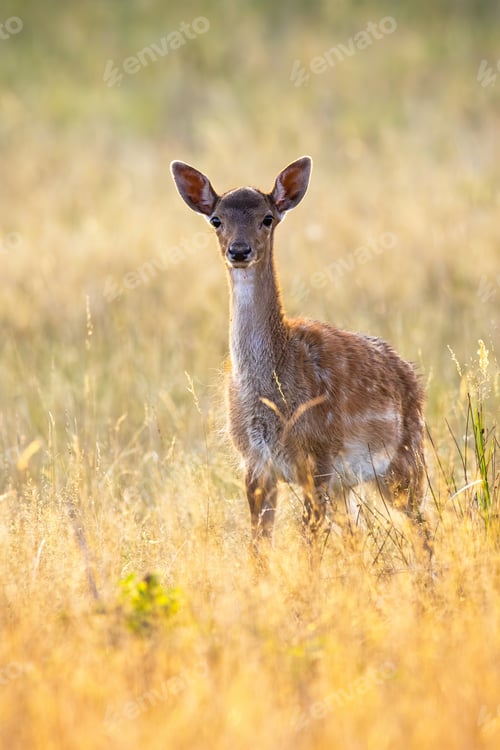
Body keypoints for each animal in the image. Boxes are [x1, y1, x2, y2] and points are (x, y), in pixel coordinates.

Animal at [170, 156, 429, 559]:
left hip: (405, 460)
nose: (239, 250)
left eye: (267, 218)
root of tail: (412, 375)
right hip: (348, 483)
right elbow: (259, 548)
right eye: (216, 219)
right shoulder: (254, 463)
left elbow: (309, 551)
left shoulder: (317, 458)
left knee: (425, 529)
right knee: (358, 534)